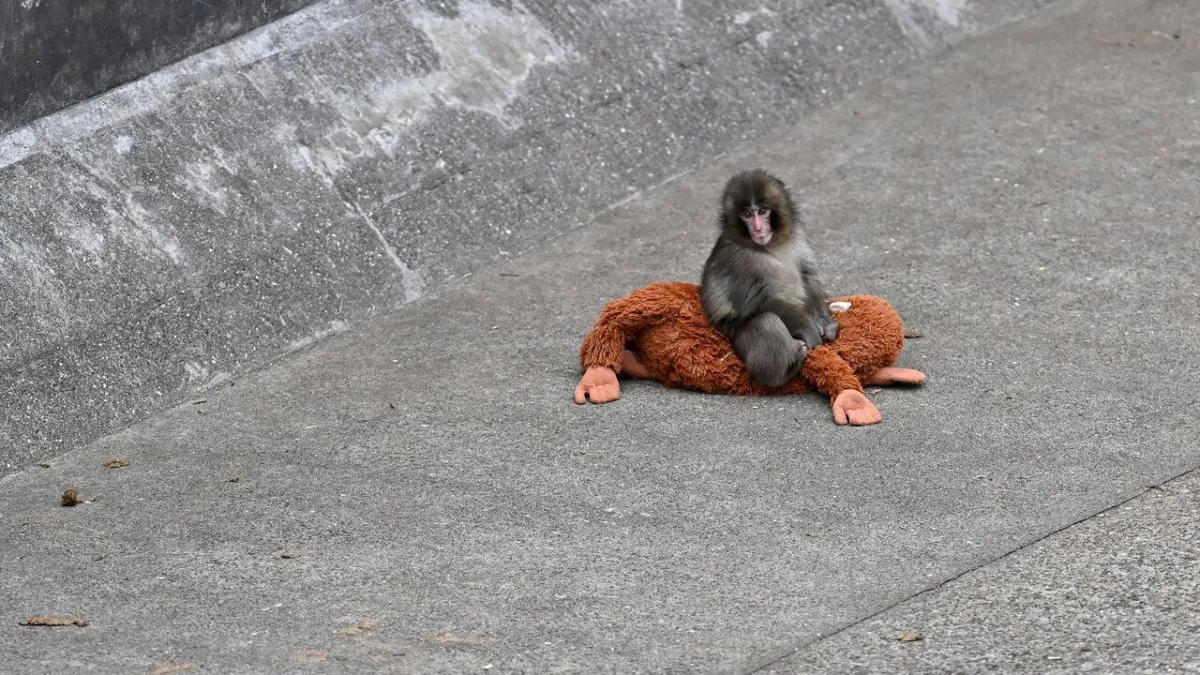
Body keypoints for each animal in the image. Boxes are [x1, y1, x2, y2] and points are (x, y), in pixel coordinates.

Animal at [700, 169, 838, 389]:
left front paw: (824, 322)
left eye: (763, 211)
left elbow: (807, 275)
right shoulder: (739, 261)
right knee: (766, 321)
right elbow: (764, 303)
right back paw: (785, 371)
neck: (769, 245)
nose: (758, 229)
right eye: (747, 215)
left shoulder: (797, 235)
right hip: (737, 337)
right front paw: (810, 331)